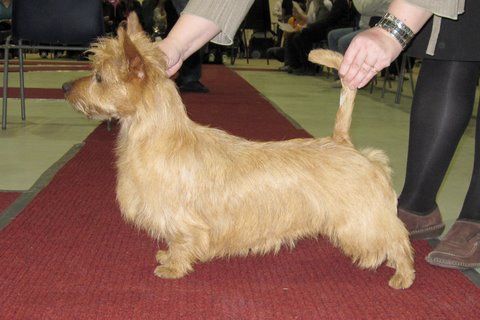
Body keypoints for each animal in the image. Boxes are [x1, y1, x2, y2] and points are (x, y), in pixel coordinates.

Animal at [62, 13, 416, 288]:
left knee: (396, 237)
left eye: (98, 77)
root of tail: (341, 141)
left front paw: (173, 267)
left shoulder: (183, 219)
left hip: (362, 219)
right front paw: (167, 256)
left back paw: (403, 274)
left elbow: (181, 242)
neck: (158, 135)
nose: (65, 87)